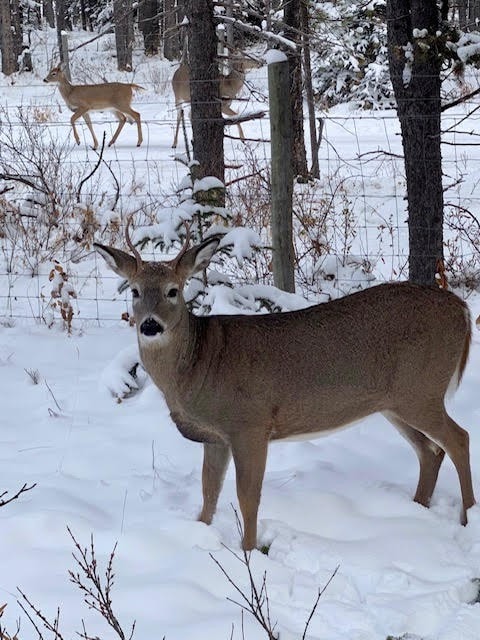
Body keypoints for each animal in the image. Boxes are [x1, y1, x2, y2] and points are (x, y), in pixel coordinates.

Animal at [94, 229, 476, 552]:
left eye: (173, 290)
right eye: (134, 290)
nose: (150, 325)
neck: (199, 365)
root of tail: (461, 307)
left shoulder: (250, 424)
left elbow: (247, 496)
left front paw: (248, 552)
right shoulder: (215, 437)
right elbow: (209, 492)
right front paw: (199, 535)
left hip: (422, 389)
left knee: (458, 438)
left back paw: (468, 517)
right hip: (393, 402)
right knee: (430, 451)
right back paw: (417, 509)